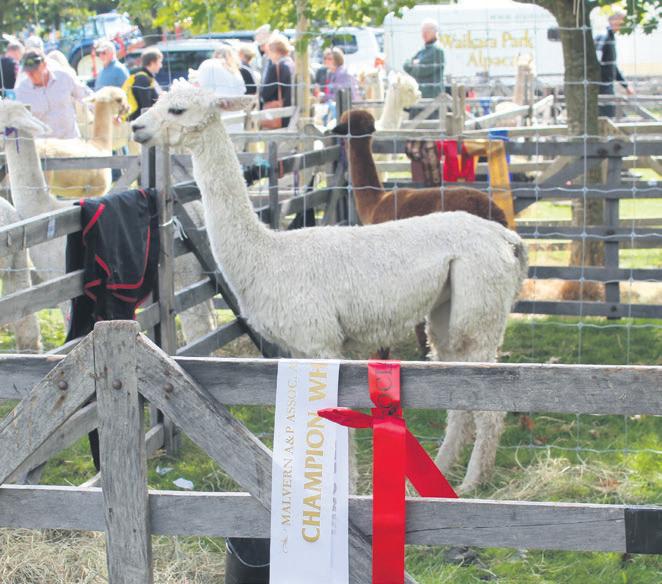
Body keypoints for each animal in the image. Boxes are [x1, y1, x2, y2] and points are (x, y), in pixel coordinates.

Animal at [131, 81, 528, 493]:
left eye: (176, 109)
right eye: (155, 101)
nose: (137, 128)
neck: (268, 255)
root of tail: (507, 239)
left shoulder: (321, 341)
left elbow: (332, 429)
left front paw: (340, 493)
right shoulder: (302, 348)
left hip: (479, 312)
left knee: (488, 406)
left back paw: (471, 483)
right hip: (446, 315)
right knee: (459, 399)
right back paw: (437, 478)